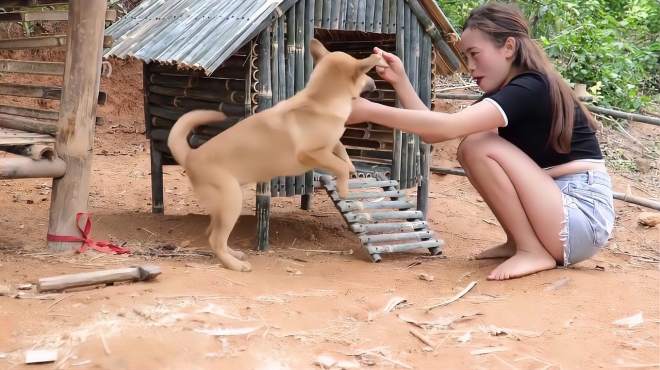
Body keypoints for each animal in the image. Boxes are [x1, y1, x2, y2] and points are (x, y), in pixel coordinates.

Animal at [168, 38, 390, 272]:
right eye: (365, 74)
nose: (374, 83)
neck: (318, 99)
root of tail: (191, 156)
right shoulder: (312, 153)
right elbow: (338, 165)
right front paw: (345, 188)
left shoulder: (330, 143)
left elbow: (341, 149)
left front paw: (351, 166)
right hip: (230, 201)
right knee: (215, 239)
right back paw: (235, 265)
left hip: (224, 204)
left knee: (212, 232)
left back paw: (234, 254)